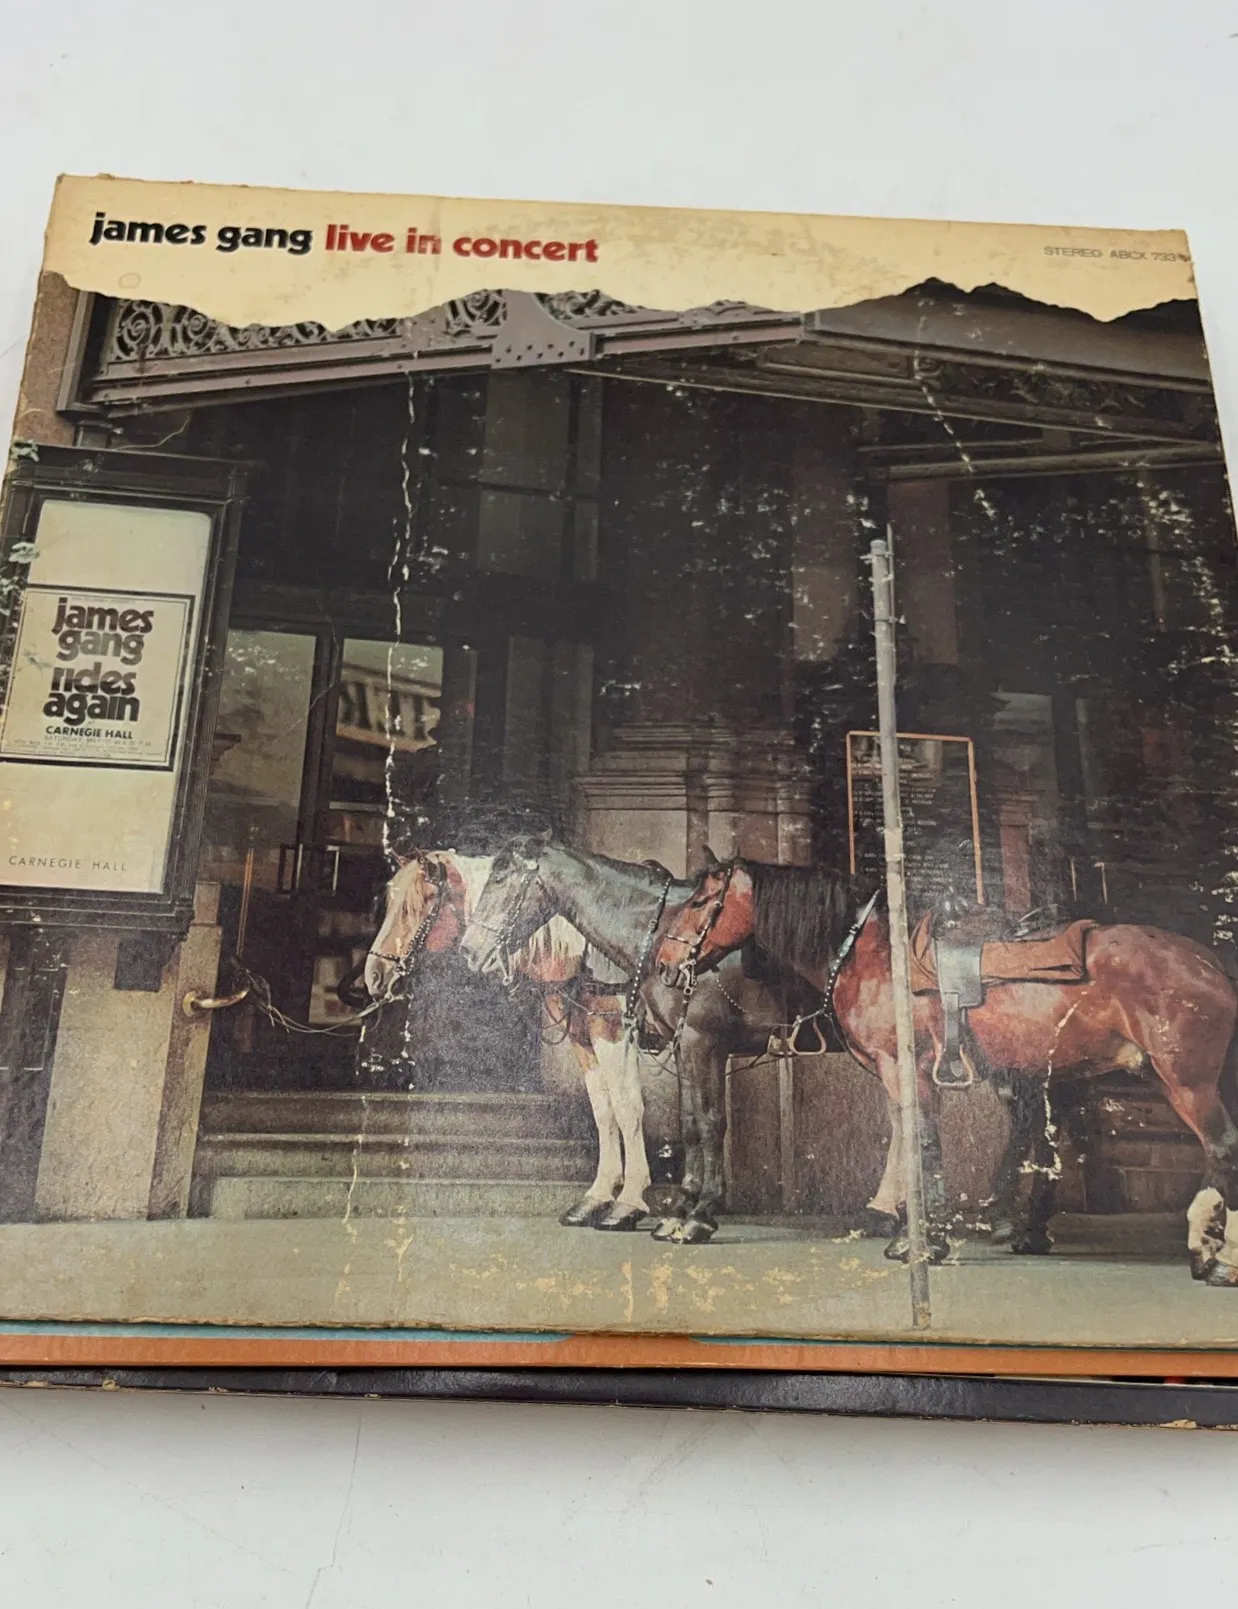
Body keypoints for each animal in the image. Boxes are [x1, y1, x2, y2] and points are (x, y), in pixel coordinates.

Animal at [365, 850, 651, 1231]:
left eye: (417, 905)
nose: (373, 975)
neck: (585, 951)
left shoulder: (614, 1029)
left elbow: (627, 1107)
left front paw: (630, 1201)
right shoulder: (583, 1036)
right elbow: (604, 1109)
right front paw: (598, 1196)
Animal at [653, 854, 1238, 1282]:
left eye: (701, 900)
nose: (664, 963)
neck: (872, 957)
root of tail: (1210, 963)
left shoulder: (904, 1067)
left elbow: (923, 1143)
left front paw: (923, 1240)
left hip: (1186, 1083)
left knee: (1221, 1150)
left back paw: (1210, 1257)